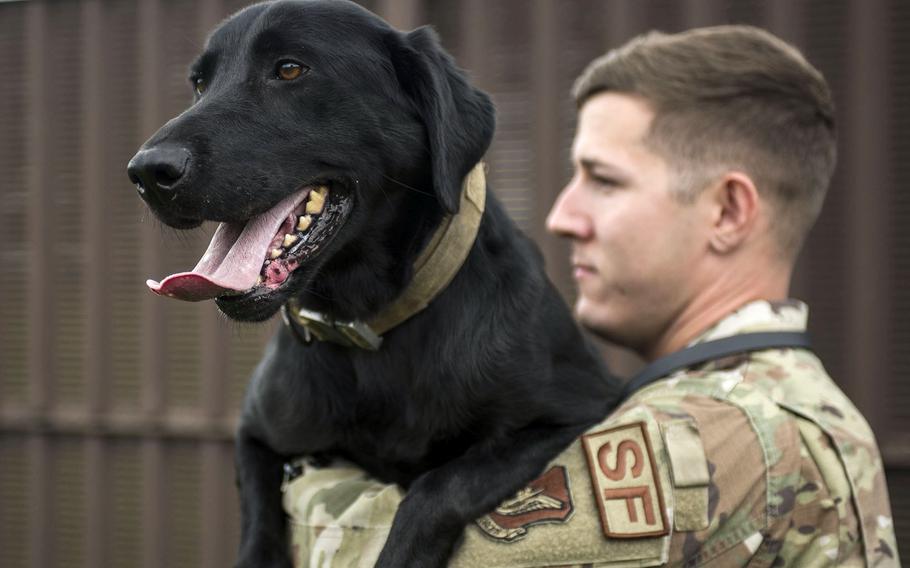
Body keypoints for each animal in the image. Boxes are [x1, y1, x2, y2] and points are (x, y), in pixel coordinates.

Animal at [126, 2, 620, 564]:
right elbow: (257, 521)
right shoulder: (256, 429)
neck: (366, 322)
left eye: (290, 69)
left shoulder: (574, 410)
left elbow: (441, 485)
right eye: (199, 84)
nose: (147, 172)